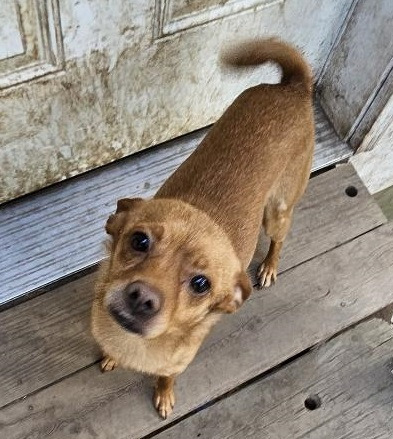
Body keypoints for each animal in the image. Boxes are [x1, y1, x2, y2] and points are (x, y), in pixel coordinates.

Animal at [91, 37, 312, 420]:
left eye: (200, 284)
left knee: (279, 241)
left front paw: (164, 395)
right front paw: (110, 357)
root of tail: (294, 87)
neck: (135, 345)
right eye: (139, 240)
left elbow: (166, 378)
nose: (142, 298)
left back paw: (269, 267)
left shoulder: (175, 366)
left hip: (278, 212)